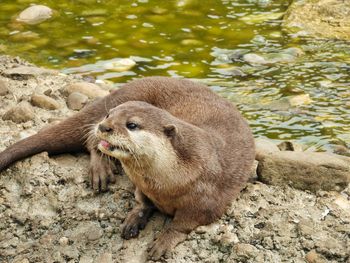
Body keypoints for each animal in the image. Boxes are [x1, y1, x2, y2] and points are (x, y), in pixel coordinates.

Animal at [0, 76, 254, 260]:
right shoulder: (143, 186)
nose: (104, 126)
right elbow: (142, 201)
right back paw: (100, 170)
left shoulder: (207, 199)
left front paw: (163, 240)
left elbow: (183, 223)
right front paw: (134, 218)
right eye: (109, 115)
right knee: (90, 140)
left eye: (132, 125)